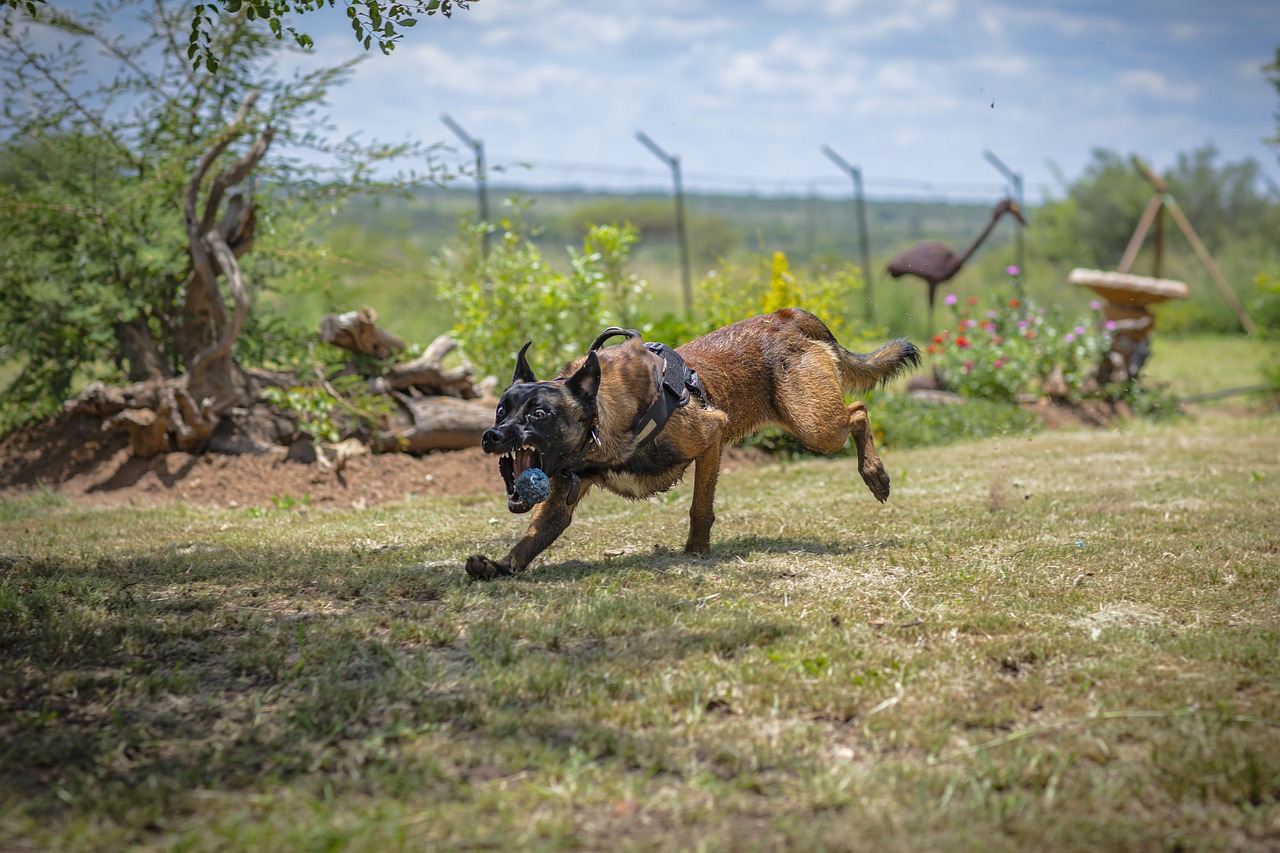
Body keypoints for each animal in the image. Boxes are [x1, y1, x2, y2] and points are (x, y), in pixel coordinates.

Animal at [465, 306, 916, 578]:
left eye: (539, 414)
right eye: (501, 410)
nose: (491, 436)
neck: (599, 419)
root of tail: (787, 316)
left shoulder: (710, 436)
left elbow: (700, 508)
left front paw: (697, 550)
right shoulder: (560, 501)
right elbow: (530, 540)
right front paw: (498, 566)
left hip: (815, 425)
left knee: (858, 411)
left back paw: (875, 474)